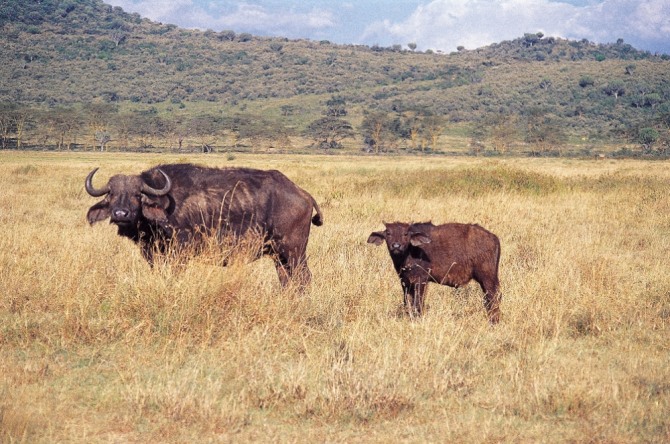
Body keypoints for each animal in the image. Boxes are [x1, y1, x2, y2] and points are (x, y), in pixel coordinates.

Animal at [85, 163, 324, 284]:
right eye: (112, 194)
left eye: (137, 195)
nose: (121, 213)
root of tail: (301, 193)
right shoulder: (154, 255)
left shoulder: (179, 254)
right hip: (278, 255)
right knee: (286, 279)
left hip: (294, 251)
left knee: (304, 278)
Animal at [368, 222, 504, 322]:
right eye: (388, 233)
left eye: (405, 234)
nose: (396, 246)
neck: (409, 253)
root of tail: (493, 237)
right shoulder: (405, 281)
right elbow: (408, 302)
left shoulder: (421, 280)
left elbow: (418, 303)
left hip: (488, 277)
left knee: (493, 297)